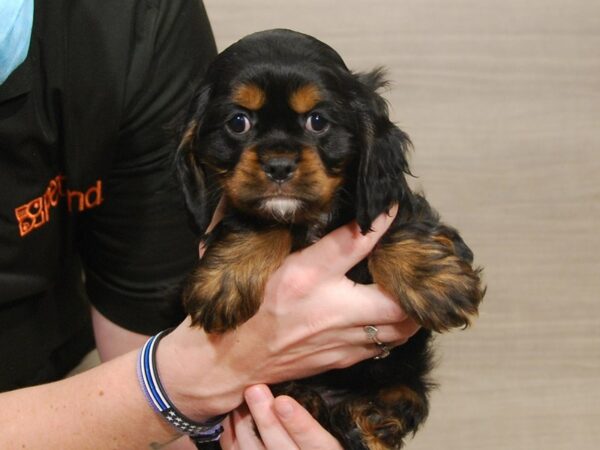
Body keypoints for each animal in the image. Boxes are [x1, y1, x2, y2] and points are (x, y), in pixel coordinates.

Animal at [176, 29, 486, 450]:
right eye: (237, 122)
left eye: (318, 121)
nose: (278, 165)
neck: (309, 218)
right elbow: (258, 220)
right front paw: (222, 281)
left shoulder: (388, 202)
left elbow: (392, 225)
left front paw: (436, 282)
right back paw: (306, 399)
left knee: (407, 393)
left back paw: (375, 417)